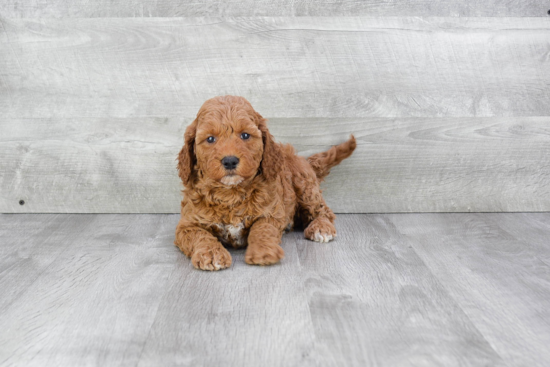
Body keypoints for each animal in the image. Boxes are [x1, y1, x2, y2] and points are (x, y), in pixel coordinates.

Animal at [177, 96, 358, 272]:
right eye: (210, 139)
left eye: (245, 135)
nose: (230, 161)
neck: (230, 193)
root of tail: (303, 160)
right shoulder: (187, 224)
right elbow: (200, 235)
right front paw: (211, 254)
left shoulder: (271, 213)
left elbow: (262, 229)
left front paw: (263, 251)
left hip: (305, 187)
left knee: (323, 211)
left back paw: (321, 227)